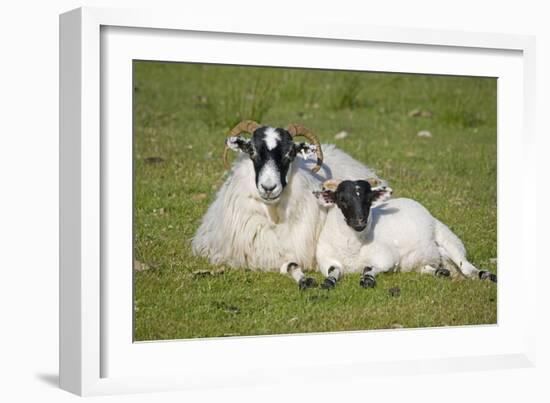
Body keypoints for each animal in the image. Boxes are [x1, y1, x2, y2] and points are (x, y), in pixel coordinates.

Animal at [314, 178, 500, 288]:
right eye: (342, 200)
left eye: (369, 200)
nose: (360, 221)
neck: (352, 248)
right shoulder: (326, 261)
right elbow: (333, 271)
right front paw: (328, 282)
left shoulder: (387, 257)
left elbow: (371, 268)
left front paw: (367, 279)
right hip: (423, 258)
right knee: (428, 266)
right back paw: (441, 272)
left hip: (447, 237)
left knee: (466, 267)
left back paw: (487, 275)